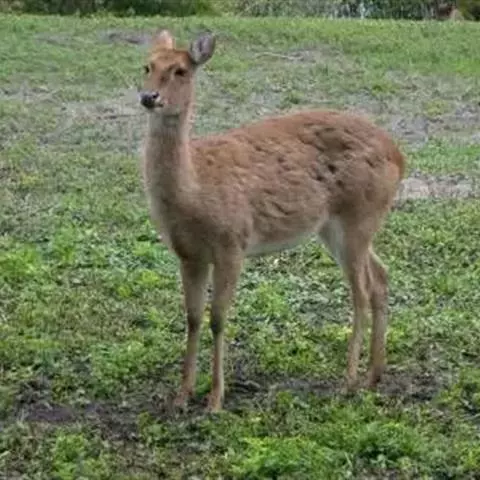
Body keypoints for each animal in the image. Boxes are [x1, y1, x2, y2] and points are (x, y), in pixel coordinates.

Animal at [138, 30, 406, 412]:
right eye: (147, 66)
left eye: (180, 71)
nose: (149, 97)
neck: (195, 189)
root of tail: (400, 157)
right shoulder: (188, 254)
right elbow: (192, 318)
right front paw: (181, 395)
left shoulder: (232, 243)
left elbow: (218, 319)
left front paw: (215, 399)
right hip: (339, 227)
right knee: (381, 277)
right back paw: (374, 375)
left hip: (359, 214)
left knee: (361, 292)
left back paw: (350, 381)